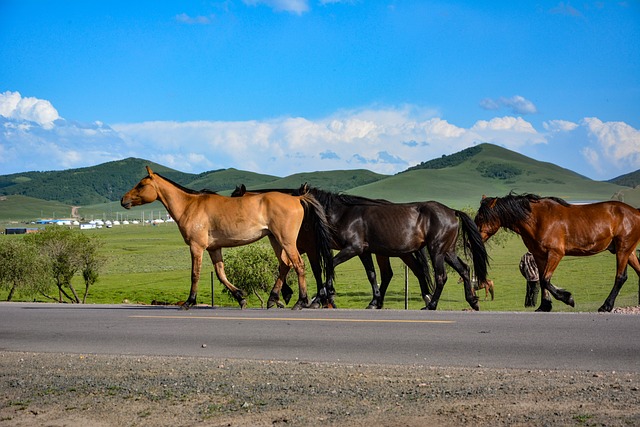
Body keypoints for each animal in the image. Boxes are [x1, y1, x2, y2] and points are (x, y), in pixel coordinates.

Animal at [118, 167, 336, 310]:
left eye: (141, 185)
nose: (123, 200)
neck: (190, 205)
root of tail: (297, 198)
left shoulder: (196, 247)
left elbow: (195, 274)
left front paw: (189, 302)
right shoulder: (214, 249)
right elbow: (221, 274)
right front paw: (240, 297)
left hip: (286, 240)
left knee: (298, 265)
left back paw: (301, 301)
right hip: (275, 240)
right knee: (285, 265)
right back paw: (273, 299)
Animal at [472, 193, 640, 310]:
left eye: (482, 217)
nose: (472, 238)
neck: (537, 219)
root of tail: (636, 212)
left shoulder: (555, 254)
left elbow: (546, 280)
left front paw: (568, 298)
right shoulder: (539, 256)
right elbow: (542, 281)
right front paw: (544, 306)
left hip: (623, 250)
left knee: (620, 277)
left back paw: (606, 306)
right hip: (628, 252)